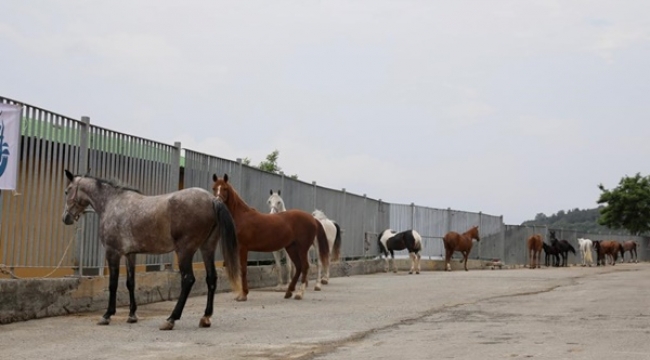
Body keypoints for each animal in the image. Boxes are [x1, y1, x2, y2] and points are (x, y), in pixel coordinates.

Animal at [61, 170, 240, 330]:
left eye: (67, 191)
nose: (65, 218)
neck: (113, 203)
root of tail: (212, 200)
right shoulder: (130, 254)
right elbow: (130, 283)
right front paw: (132, 315)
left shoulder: (113, 253)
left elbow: (113, 284)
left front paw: (107, 315)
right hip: (207, 248)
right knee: (211, 278)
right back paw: (205, 317)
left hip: (185, 251)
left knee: (188, 279)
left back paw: (171, 319)